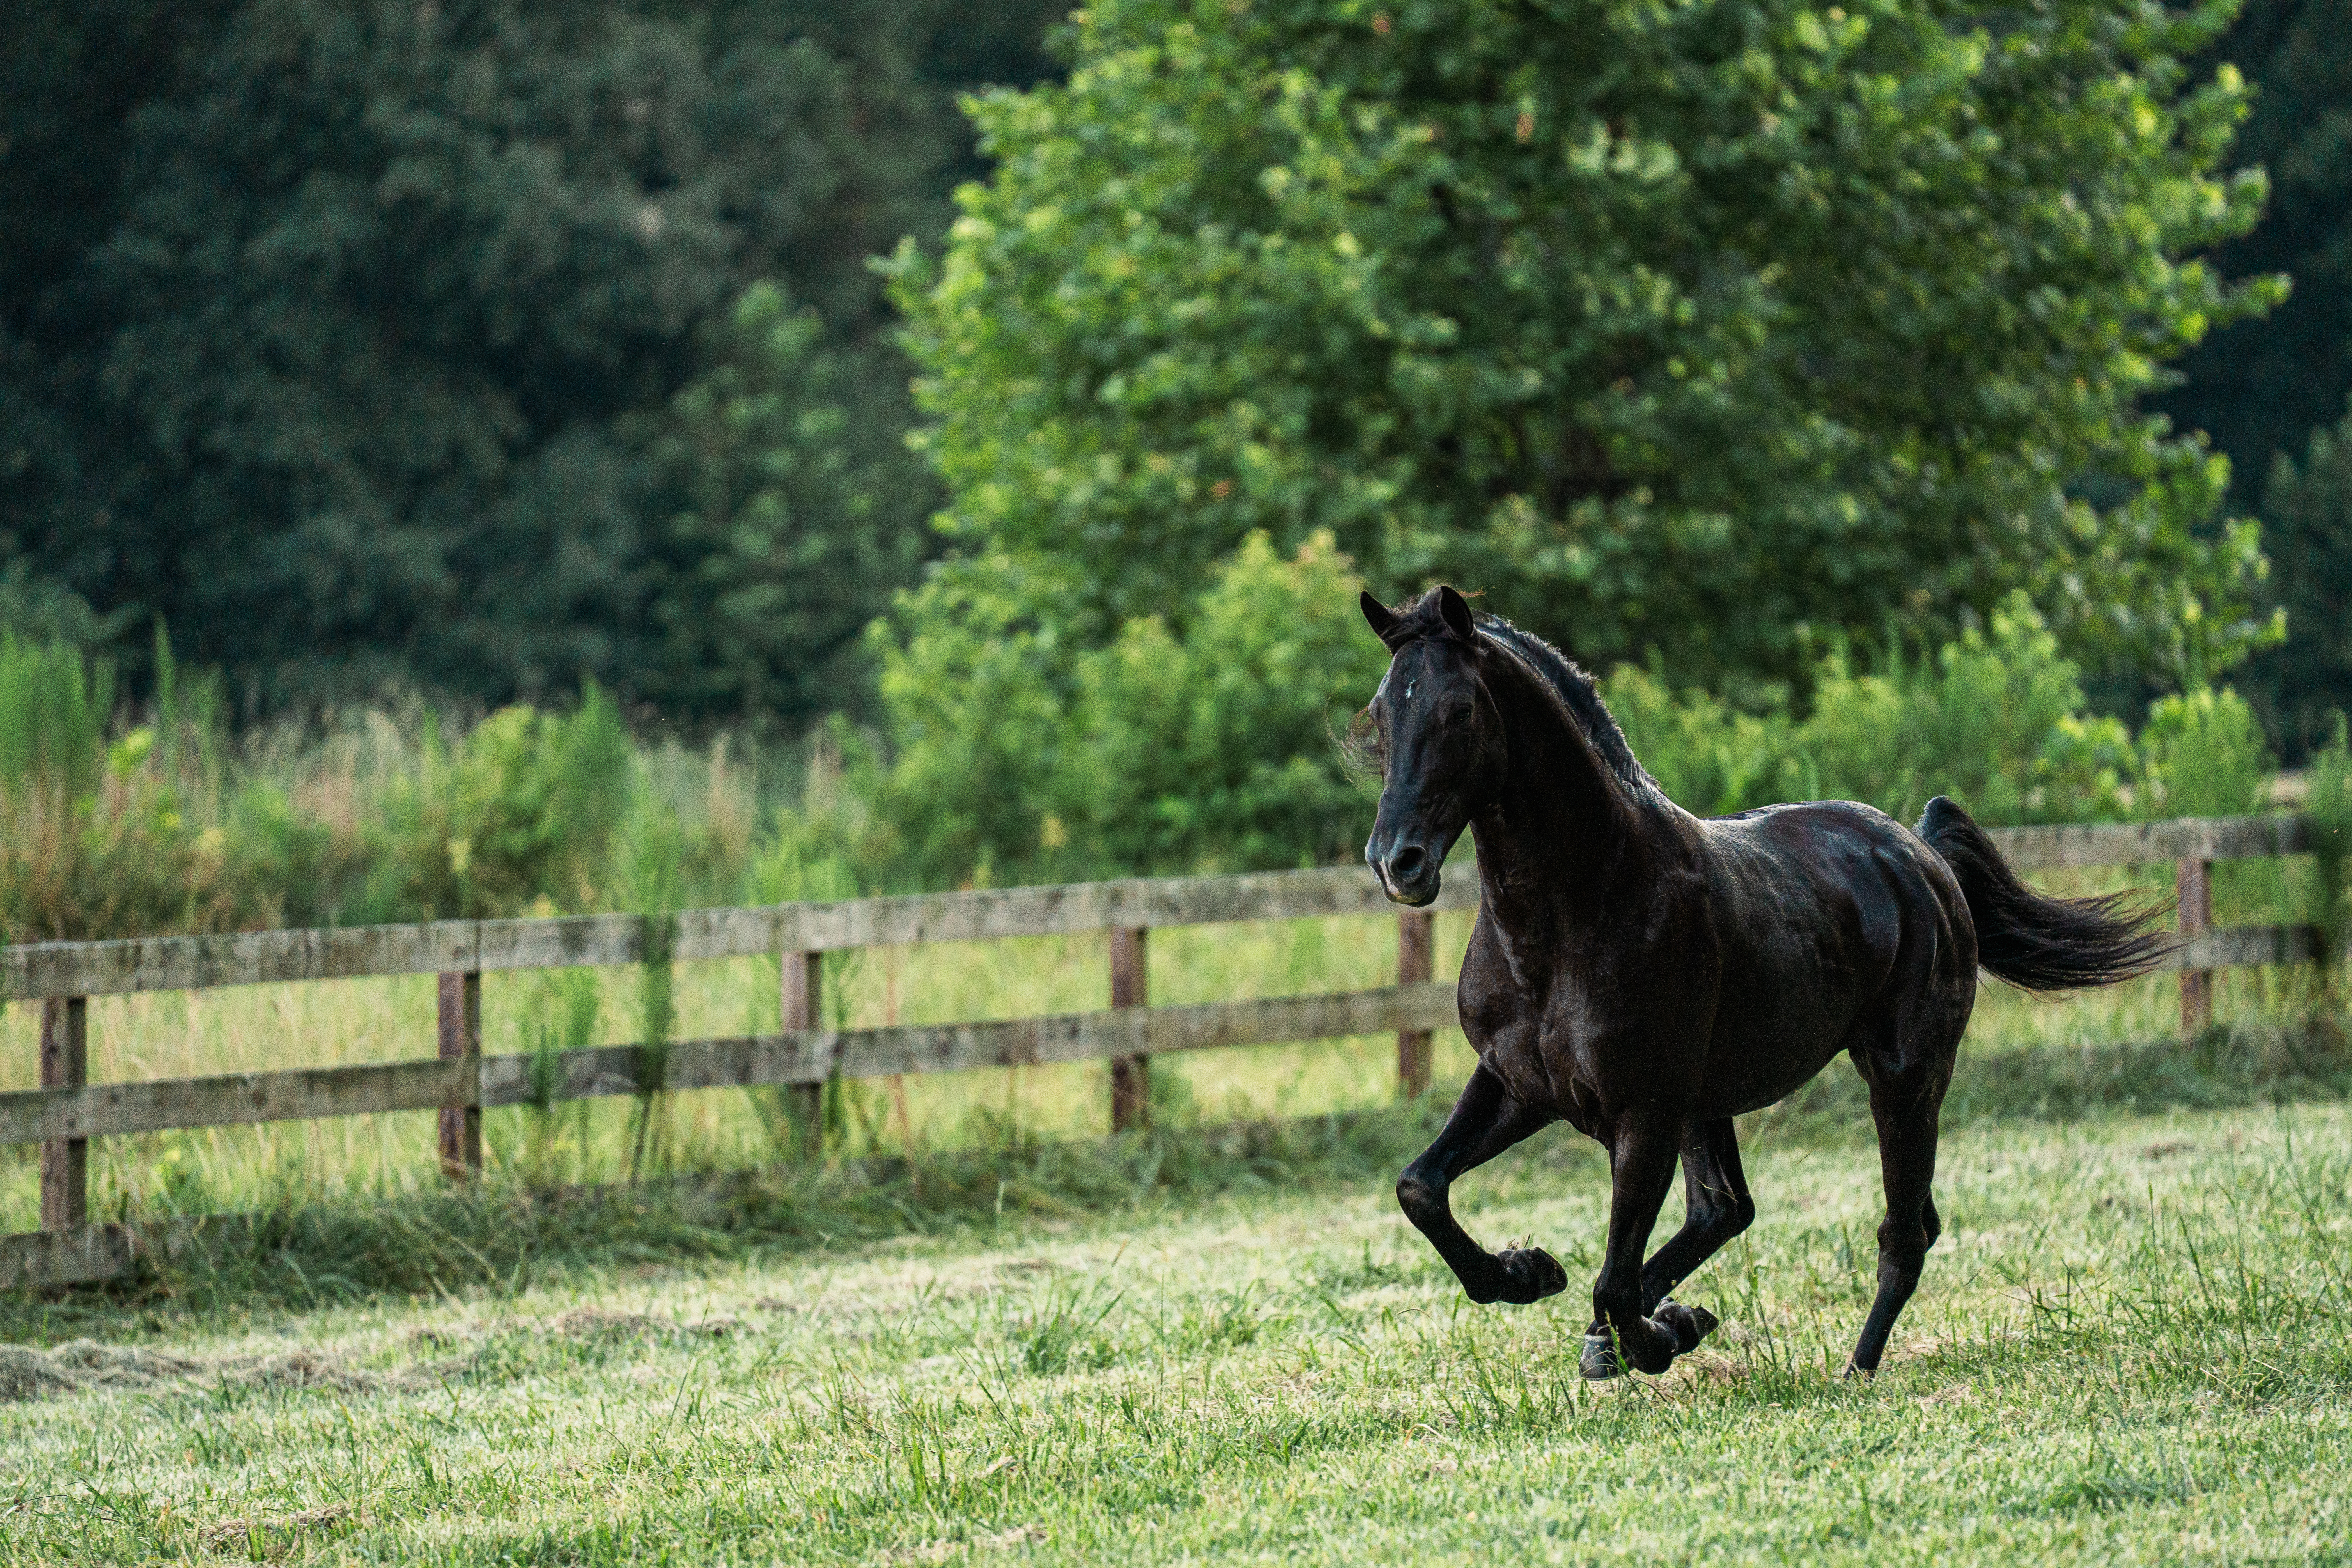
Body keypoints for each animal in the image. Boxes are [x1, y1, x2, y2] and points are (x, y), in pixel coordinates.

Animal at [1357, 585, 2169, 1378]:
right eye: (1381, 715)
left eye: (1460, 711)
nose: (1396, 862)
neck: (1577, 912)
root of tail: (1920, 854)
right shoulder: (1520, 1084)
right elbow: (1421, 1187)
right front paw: (1528, 1273)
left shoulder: (1643, 1112)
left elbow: (1612, 1281)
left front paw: (1647, 1338)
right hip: (1715, 1101)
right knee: (1732, 1210)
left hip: (1904, 1077)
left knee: (1901, 1232)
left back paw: (1852, 1370)